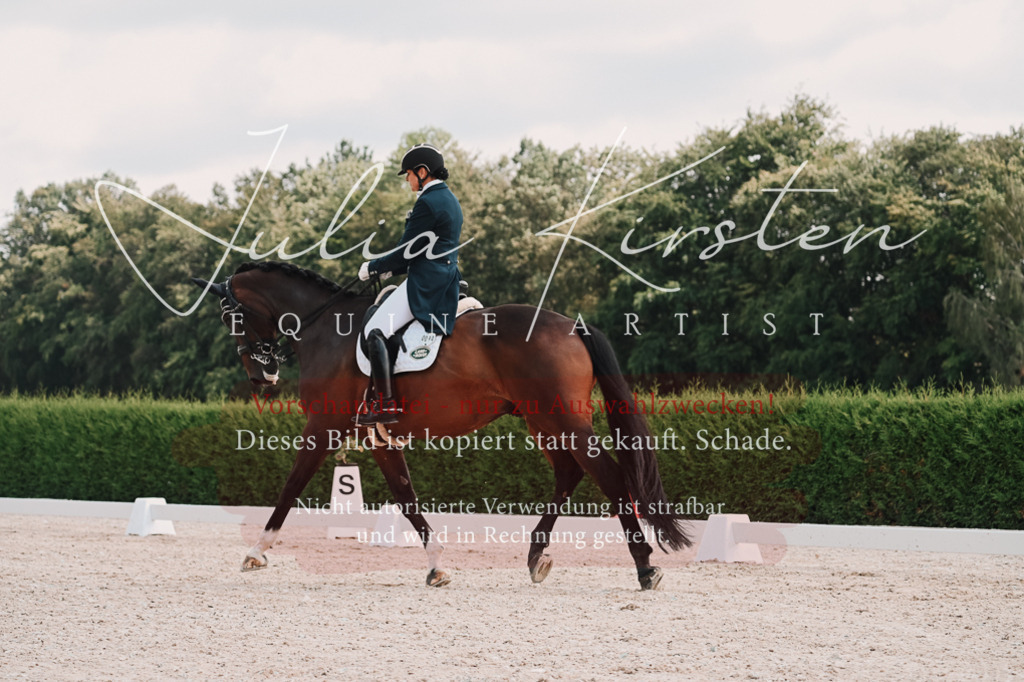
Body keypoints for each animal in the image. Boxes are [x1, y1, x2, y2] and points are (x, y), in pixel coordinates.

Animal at [192, 261, 690, 590]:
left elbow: (290, 488)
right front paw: (436, 566)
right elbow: (406, 497)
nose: (262, 376)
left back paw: (644, 566)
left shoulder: (322, 427)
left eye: (231, 316)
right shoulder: (378, 436)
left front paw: (255, 552)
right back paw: (536, 556)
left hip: (561, 417)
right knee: (569, 473)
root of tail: (571, 325)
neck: (326, 328)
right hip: (542, 419)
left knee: (609, 475)